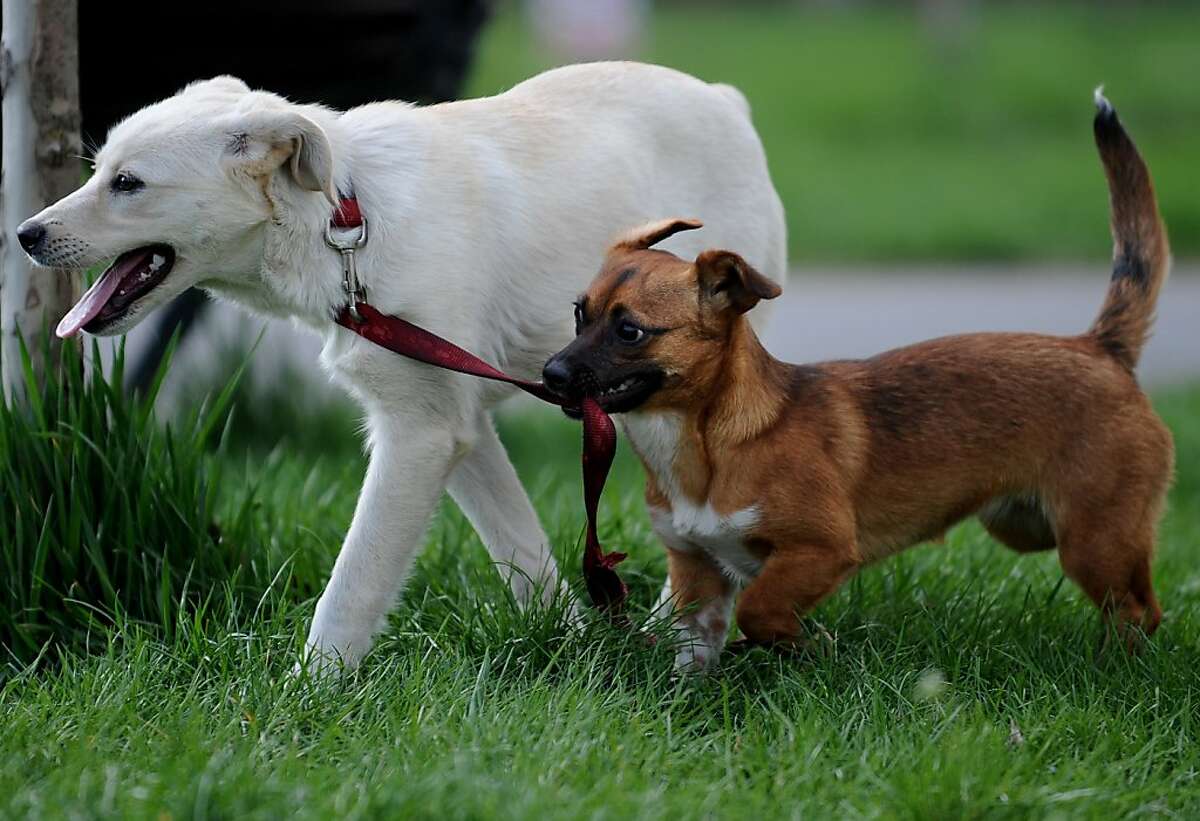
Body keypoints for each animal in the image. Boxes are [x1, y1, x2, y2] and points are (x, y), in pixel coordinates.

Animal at [21, 62, 787, 667]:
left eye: (127, 183)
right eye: (99, 172)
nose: (25, 234)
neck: (344, 221)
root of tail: (727, 101)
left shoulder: (420, 436)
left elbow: (352, 586)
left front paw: (307, 693)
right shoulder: (457, 426)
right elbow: (523, 552)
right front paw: (575, 644)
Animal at [544, 93, 1171, 672]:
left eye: (630, 331)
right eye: (578, 315)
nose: (551, 373)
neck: (706, 442)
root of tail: (1100, 347)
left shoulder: (819, 551)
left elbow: (761, 610)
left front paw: (806, 644)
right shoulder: (697, 574)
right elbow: (697, 650)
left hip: (1094, 541)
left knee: (1140, 610)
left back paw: (1117, 669)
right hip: (1028, 527)